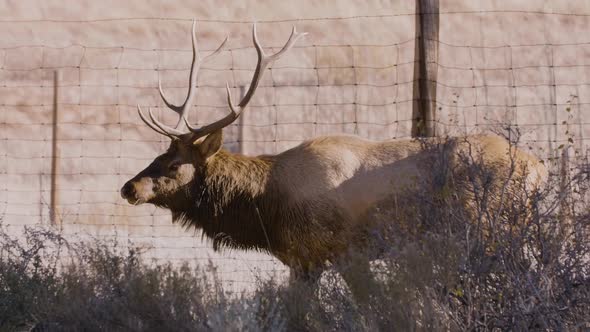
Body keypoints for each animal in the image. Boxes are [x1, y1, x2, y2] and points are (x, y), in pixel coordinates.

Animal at [121, 21, 552, 282]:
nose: (128, 187)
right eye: (157, 155)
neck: (267, 208)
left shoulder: (335, 253)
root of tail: (539, 169)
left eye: (174, 164)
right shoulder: (304, 260)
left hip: (489, 229)